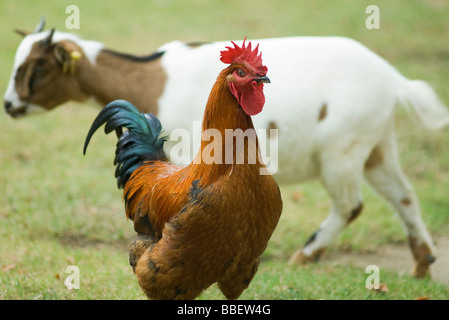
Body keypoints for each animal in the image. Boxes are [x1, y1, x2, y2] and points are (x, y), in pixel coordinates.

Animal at [4, 18, 448, 278]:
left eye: (39, 68)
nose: (9, 105)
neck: (152, 78)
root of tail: (392, 78)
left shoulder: (185, 155)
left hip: (343, 150)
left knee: (350, 204)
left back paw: (307, 255)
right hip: (377, 145)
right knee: (404, 195)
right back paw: (422, 264)